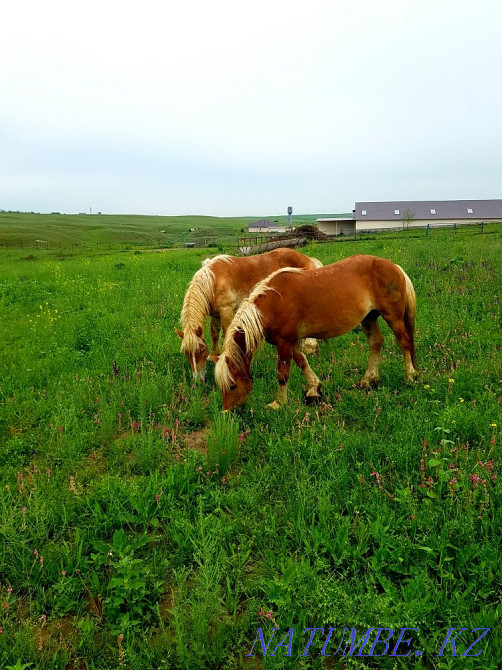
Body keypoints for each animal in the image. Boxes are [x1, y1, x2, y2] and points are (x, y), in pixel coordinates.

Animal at [176, 248, 322, 380]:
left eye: (201, 350)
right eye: (186, 353)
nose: (197, 380)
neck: (213, 280)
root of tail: (309, 259)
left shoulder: (226, 310)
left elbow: (227, 333)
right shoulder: (215, 315)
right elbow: (214, 334)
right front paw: (214, 355)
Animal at [214, 254, 418, 410]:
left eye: (232, 386)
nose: (228, 411)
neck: (272, 304)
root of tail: (395, 267)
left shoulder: (284, 343)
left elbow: (282, 374)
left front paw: (278, 403)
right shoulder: (291, 341)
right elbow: (302, 361)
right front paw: (314, 390)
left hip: (393, 316)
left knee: (404, 342)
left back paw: (410, 376)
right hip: (369, 318)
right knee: (376, 343)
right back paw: (369, 380)